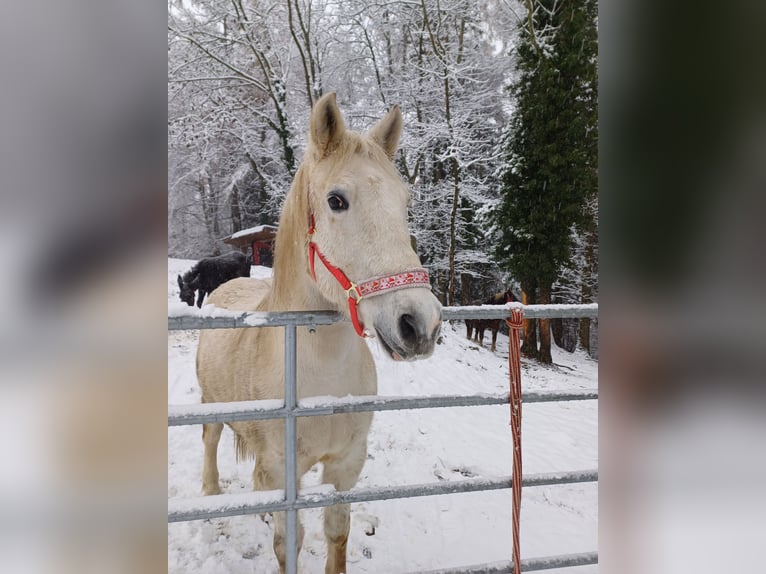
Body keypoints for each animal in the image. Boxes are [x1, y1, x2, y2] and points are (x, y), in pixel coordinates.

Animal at [195, 93, 442, 574]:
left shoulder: (346, 464)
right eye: (336, 200)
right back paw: (212, 496)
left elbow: (337, 533)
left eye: (404, 201)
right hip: (211, 404)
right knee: (211, 439)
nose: (419, 323)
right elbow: (286, 545)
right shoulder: (282, 469)